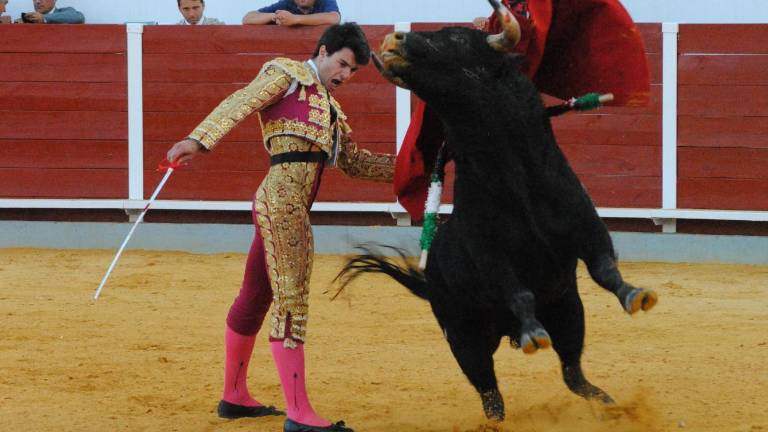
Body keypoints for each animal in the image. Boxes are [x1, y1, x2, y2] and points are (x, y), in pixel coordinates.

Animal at [336, 9, 660, 422]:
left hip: (569, 311)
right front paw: (533, 334)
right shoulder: (490, 255)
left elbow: (605, 269)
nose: (393, 40)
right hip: (462, 337)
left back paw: (610, 406)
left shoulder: (585, 226)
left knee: (573, 373)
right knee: (491, 394)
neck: (514, 177)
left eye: (458, 39)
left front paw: (636, 295)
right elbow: (519, 293)